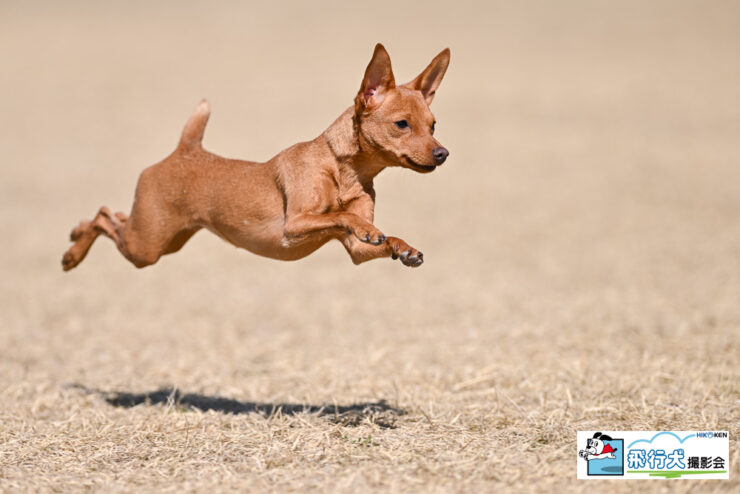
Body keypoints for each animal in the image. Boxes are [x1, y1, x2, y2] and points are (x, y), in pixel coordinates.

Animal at [62, 44, 450, 272]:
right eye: (401, 124)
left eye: (433, 125)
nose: (443, 152)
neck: (343, 171)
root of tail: (185, 149)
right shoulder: (295, 224)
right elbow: (343, 216)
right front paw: (368, 227)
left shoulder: (356, 251)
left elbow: (379, 236)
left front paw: (404, 249)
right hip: (146, 246)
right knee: (104, 216)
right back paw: (72, 254)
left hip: (162, 241)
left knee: (114, 216)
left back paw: (75, 234)